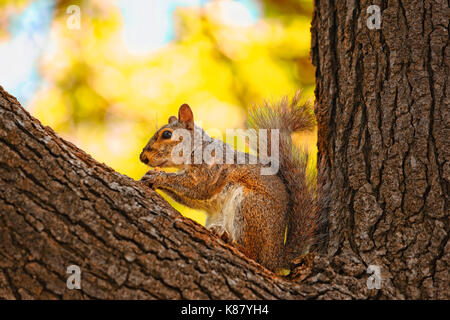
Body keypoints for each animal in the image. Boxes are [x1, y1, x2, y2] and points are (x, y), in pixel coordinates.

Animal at [140, 92, 320, 272]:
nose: (142, 157)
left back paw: (232, 242)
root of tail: (276, 256)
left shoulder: (210, 170)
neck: (198, 148)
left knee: (254, 256)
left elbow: (198, 187)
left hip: (250, 206)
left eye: (167, 134)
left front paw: (158, 177)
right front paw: (153, 177)